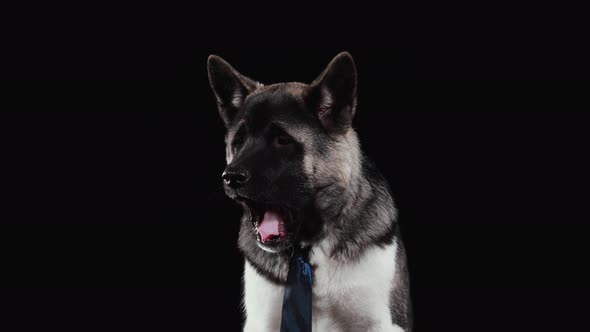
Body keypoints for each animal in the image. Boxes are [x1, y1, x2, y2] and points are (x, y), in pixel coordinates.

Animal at [210, 52, 414, 332]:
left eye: (282, 141)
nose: (230, 177)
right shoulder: (262, 322)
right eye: (238, 142)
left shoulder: (383, 323)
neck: (308, 251)